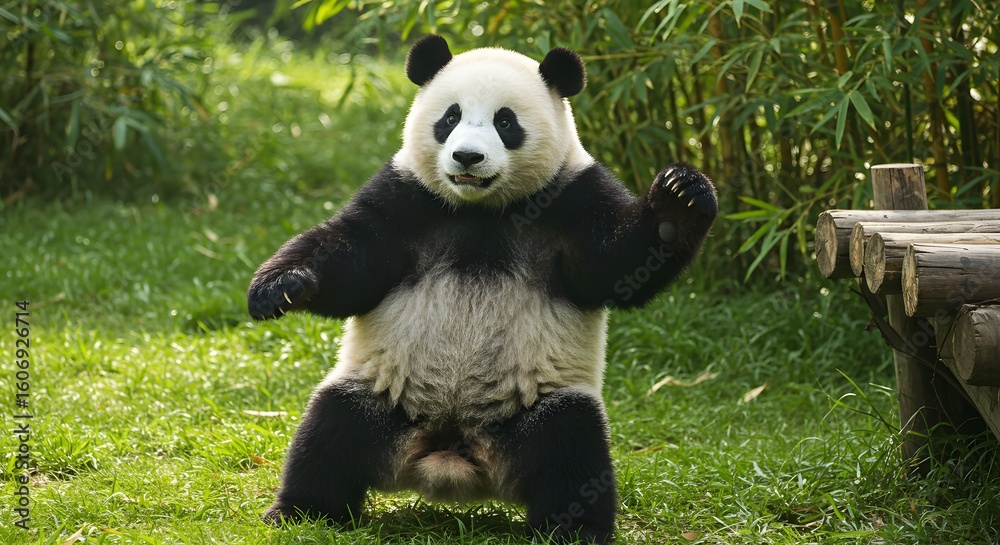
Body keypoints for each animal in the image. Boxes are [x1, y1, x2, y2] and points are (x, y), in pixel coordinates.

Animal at [247, 35, 717, 544]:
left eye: (505, 122)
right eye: (450, 118)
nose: (467, 157)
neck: (482, 209)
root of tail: (449, 455)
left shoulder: (572, 198)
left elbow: (616, 265)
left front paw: (680, 197)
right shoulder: (405, 197)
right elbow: (353, 260)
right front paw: (279, 288)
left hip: (537, 407)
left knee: (571, 449)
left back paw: (574, 529)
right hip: (382, 392)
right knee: (330, 432)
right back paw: (303, 511)